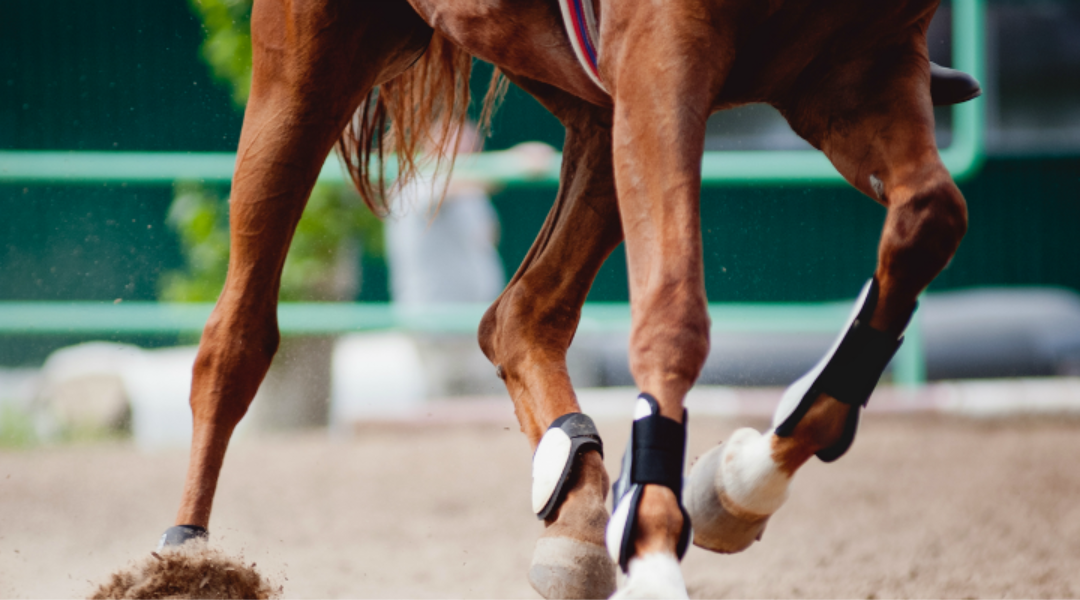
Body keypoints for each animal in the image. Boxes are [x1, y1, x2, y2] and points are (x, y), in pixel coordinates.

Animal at [156, 0, 974, 598]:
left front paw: (741, 481)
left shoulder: (859, 66)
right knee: (236, 337)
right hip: (310, 66)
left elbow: (929, 219)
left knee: (517, 317)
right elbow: (673, 315)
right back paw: (185, 559)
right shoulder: (664, 51)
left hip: (591, 99)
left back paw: (577, 514)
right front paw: (658, 553)